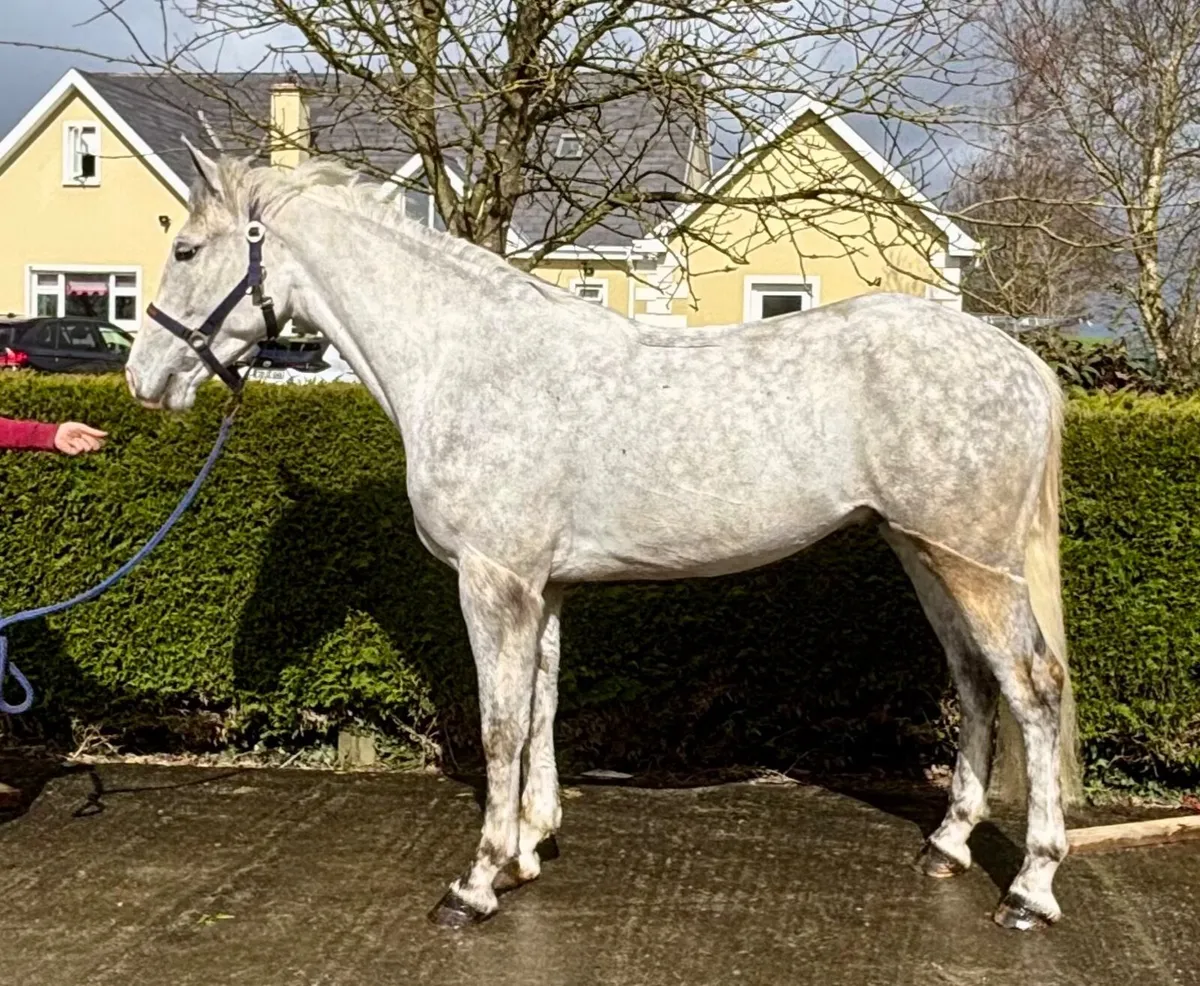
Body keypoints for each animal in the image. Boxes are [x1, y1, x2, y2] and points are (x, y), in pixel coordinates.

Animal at [126, 143, 1081, 932]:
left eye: (186, 251)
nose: (143, 378)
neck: (468, 360)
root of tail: (1018, 362)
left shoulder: (493, 580)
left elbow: (501, 725)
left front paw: (475, 883)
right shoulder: (541, 587)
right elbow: (542, 708)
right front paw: (527, 851)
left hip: (974, 563)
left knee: (1032, 687)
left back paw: (1031, 890)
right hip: (924, 553)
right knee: (977, 681)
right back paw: (947, 847)